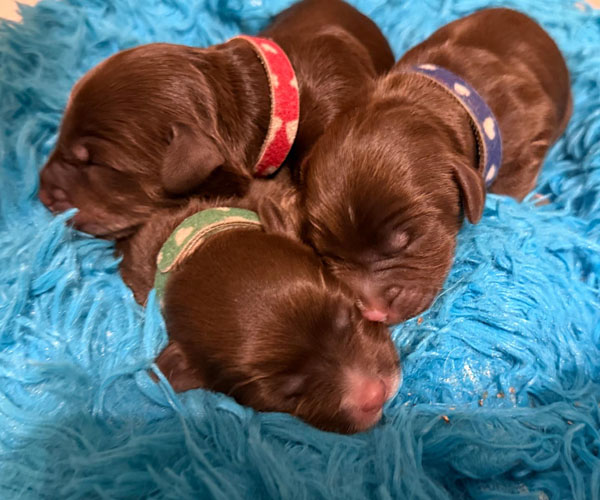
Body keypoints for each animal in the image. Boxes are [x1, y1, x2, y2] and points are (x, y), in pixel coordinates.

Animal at [298, 8, 572, 324]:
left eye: (409, 242)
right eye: (326, 252)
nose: (373, 312)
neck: (431, 97)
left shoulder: (531, 130)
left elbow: (510, 187)